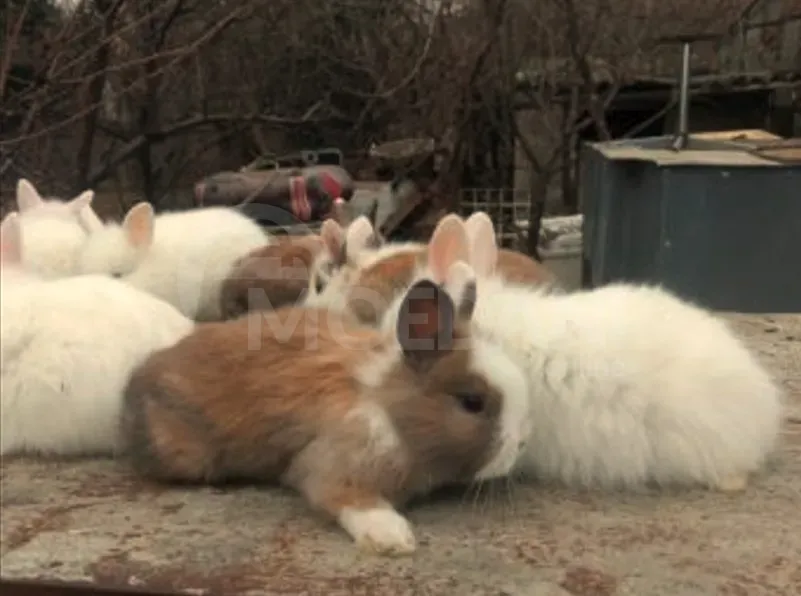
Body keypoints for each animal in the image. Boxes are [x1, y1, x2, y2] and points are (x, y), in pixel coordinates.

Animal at [119, 214, 531, 556]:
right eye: (472, 402)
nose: (521, 445)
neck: (388, 403)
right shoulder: (331, 466)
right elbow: (346, 498)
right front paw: (392, 537)